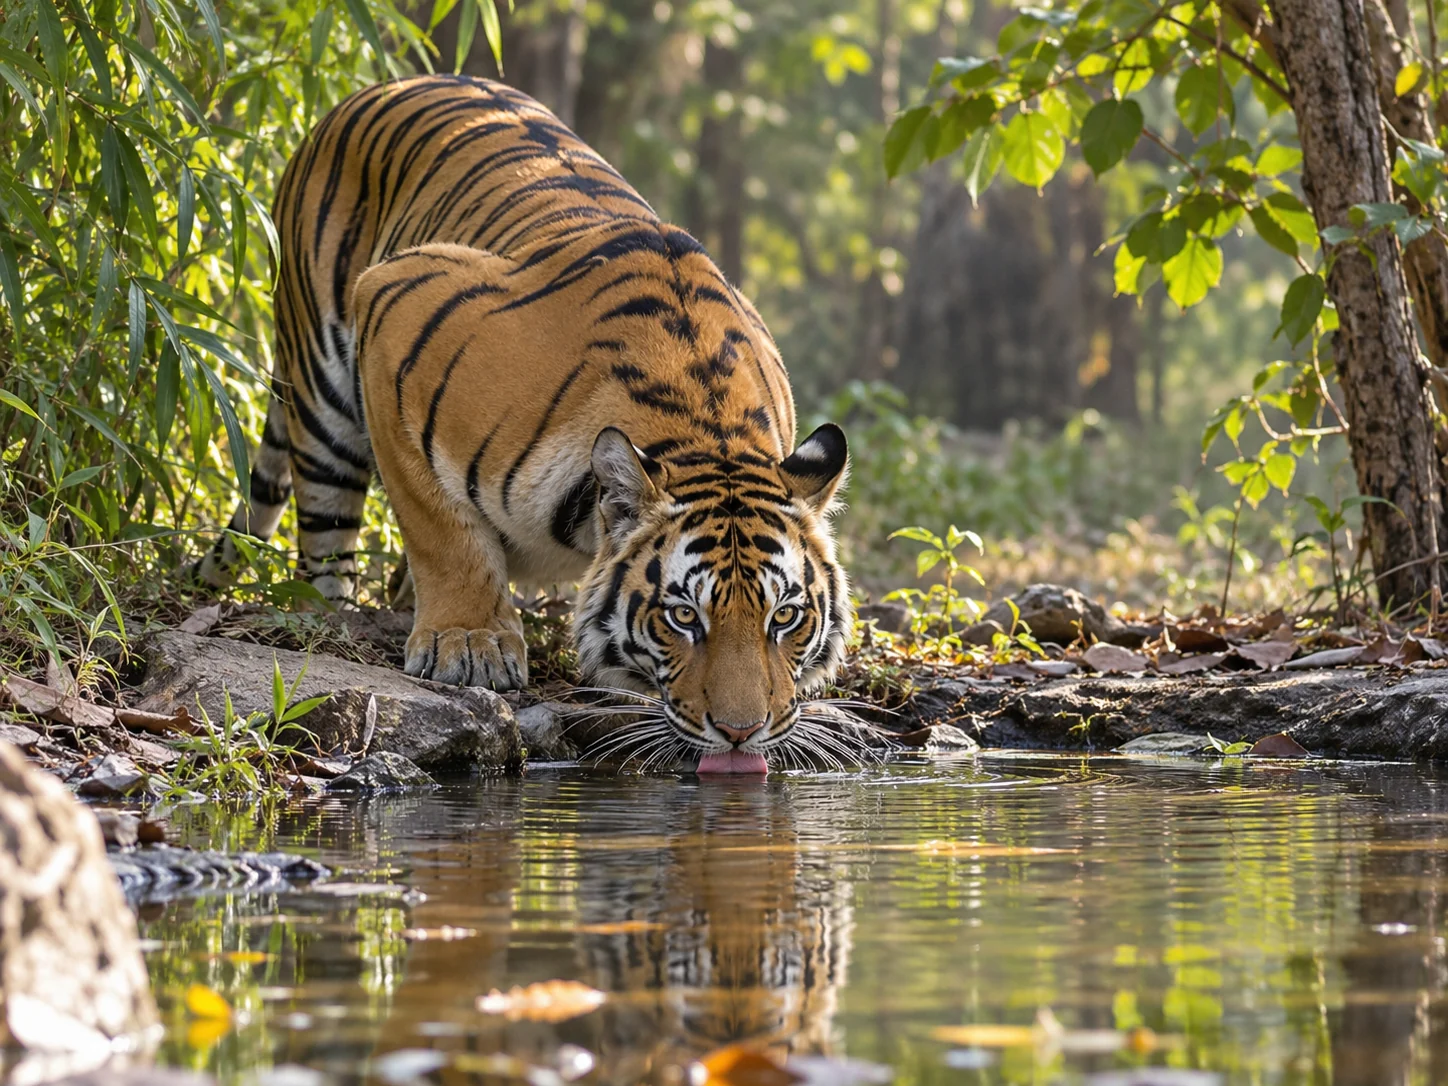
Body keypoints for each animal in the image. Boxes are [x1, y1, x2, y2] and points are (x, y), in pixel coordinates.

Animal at [194, 74, 853, 772]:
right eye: (682, 617)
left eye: (785, 618)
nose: (741, 732)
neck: (706, 428)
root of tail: (389, 84)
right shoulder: (397, 307)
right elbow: (442, 530)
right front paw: (468, 642)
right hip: (322, 390)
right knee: (326, 529)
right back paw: (336, 613)